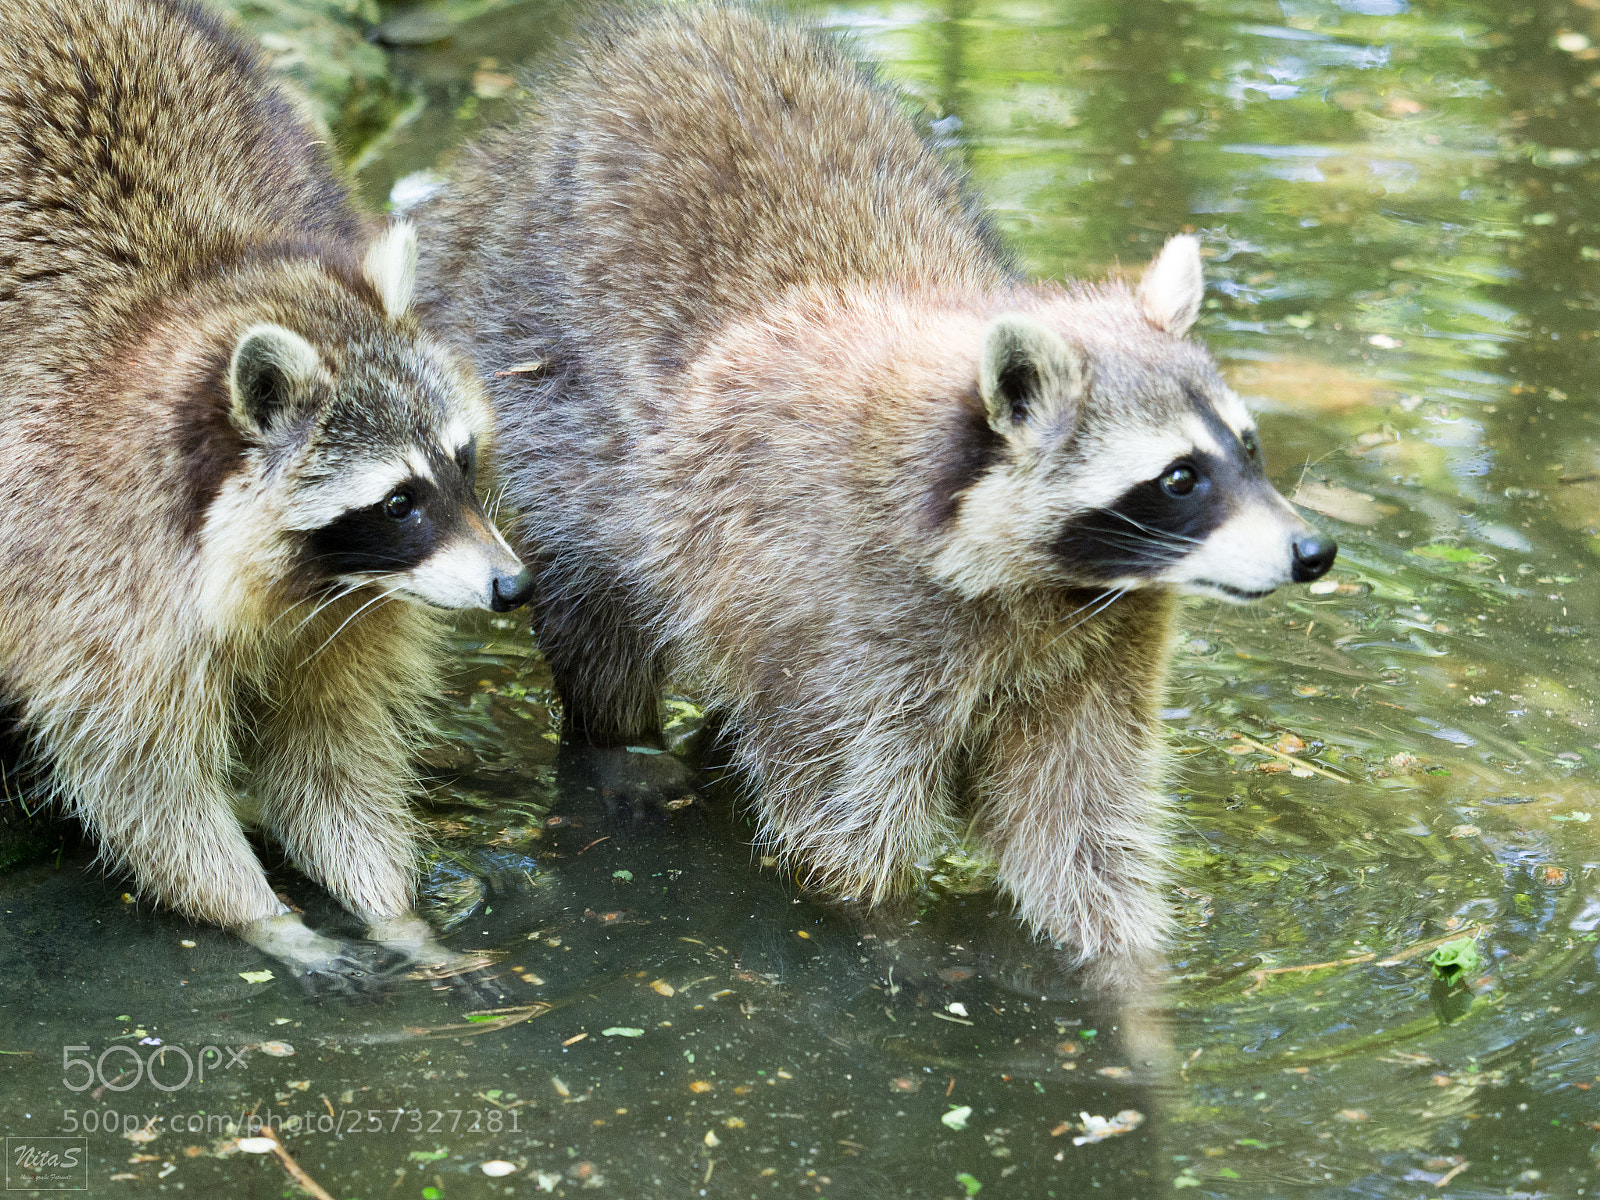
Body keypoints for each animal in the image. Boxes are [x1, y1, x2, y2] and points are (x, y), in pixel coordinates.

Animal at [0, 0, 533, 988]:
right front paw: (264, 917)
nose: (513, 587)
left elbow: (332, 752)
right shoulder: (84, 572)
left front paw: (393, 910)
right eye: (399, 500)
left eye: (463, 462)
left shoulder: (359, 602)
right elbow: (140, 778)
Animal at [415, 8, 1335, 963]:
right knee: (597, 609)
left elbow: (1080, 830)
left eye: (1249, 448)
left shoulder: (1102, 636)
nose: (1314, 550)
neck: (1054, 585)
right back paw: (617, 747)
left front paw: (1120, 976)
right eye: (1181, 477)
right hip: (548, 399)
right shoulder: (844, 624)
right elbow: (842, 832)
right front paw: (893, 939)